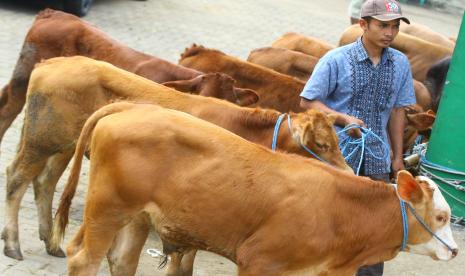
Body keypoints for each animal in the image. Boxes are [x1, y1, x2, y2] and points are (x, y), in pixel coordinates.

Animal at [0, 56, 352, 260]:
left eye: (337, 142)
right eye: (322, 144)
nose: (349, 172)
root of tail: (54, 62)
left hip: (61, 146)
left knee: (44, 184)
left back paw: (51, 242)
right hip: (41, 141)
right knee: (17, 179)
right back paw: (13, 244)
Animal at [51, 101, 456, 276]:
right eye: (441, 216)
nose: (454, 251)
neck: (339, 208)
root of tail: (131, 108)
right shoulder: (258, 261)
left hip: (134, 218)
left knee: (120, 262)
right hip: (107, 211)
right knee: (84, 260)